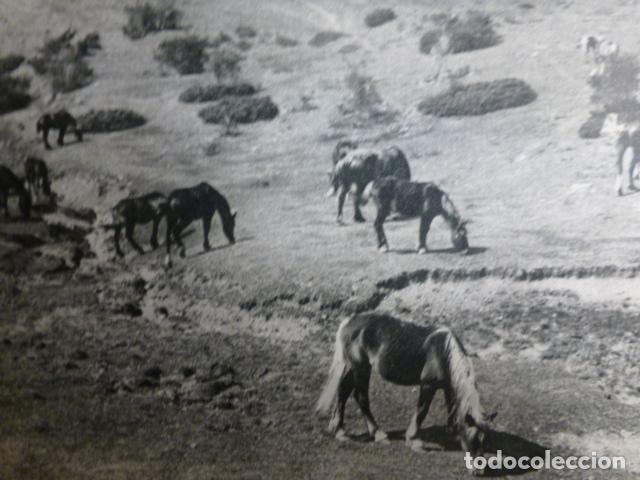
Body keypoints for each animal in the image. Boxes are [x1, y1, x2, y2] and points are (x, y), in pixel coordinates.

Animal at [316, 312, 497, 471]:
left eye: (486, 440)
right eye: (473, 438)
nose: (479, 471)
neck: (442, 351)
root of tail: (349, 321)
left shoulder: (447, 386)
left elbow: (452, 410)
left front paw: (453, 433)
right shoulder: (428, 385)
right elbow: (422, 411)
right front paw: (413, 440)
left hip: (353, 367)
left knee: (343, 392)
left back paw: (339, 431)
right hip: (360, 367)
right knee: (361, 398)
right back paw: (378, 434)